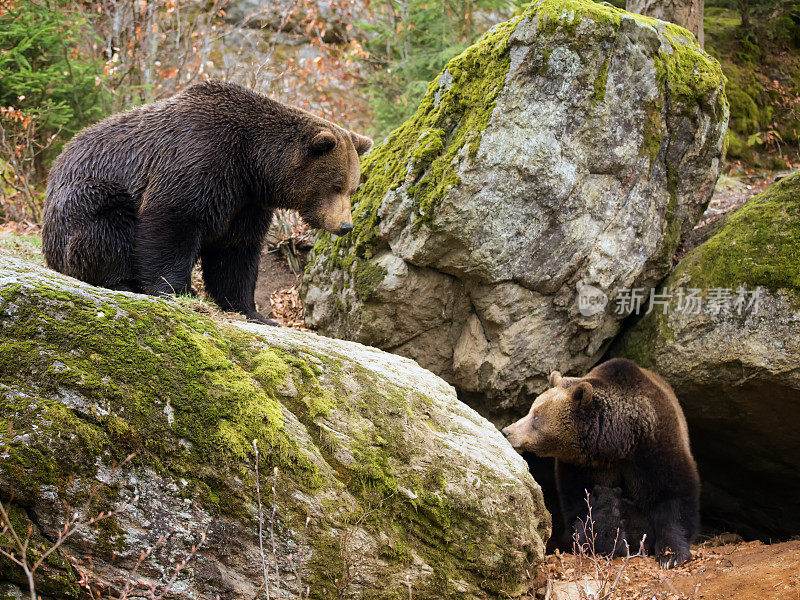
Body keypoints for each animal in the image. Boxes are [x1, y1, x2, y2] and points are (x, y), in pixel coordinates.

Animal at [40, 81, 372, 324]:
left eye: (352, 188)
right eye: (335, 185)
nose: (345, 225)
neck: (252, 162)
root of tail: (56, 164)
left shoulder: (245, 202)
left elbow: (235, 252)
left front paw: (253, 311)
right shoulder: (200, 158)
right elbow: (172, 222)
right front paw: (177, 290)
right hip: (87, 193)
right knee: (104, 222)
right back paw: (120, 280)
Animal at [506, 358, 700, 568]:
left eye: (536, 416)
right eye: (531, 410)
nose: (507, 431)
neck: (616, 443)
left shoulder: (653, 447)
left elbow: (671, 497)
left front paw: (670, 555)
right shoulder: (581, 466)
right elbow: (582, 504)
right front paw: (592, 540)